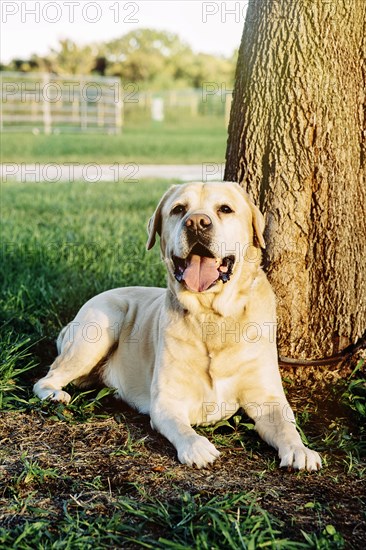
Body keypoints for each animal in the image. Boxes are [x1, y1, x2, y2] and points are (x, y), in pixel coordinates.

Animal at [33, 183, 320, 472]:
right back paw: (54, 394)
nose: (197, 222)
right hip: (103, 323)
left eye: (225, 208)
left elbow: (286, 426)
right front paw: (197, 446)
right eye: (179, 209)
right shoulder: (166, 402)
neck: (212, 315)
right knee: (47, 377)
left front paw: (300, 450)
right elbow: (181, 427)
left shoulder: (268, 398)